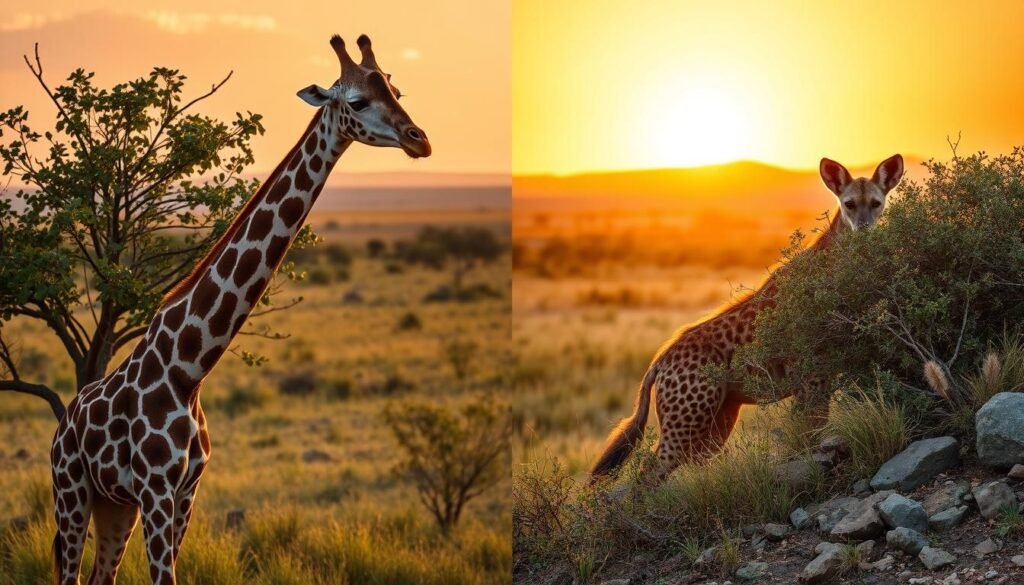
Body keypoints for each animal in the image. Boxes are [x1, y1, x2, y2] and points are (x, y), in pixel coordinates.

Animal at [48, 34, 429, 585]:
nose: (419, 139)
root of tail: (61, 426)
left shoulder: (187, 490)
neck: (189, 368)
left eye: (396, 91)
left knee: (102, 576)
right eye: (357, 101)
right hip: (71, 492)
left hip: (113, 505)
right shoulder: (157, 489)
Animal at [590, 155, 905, 484]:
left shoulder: (821, 376)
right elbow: (810, 432)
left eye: (876, 202)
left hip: (716, 424)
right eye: (849, 204)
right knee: (643, 478)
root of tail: (661, 359)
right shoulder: (814, 377)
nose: (864, 229)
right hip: (685, 426)